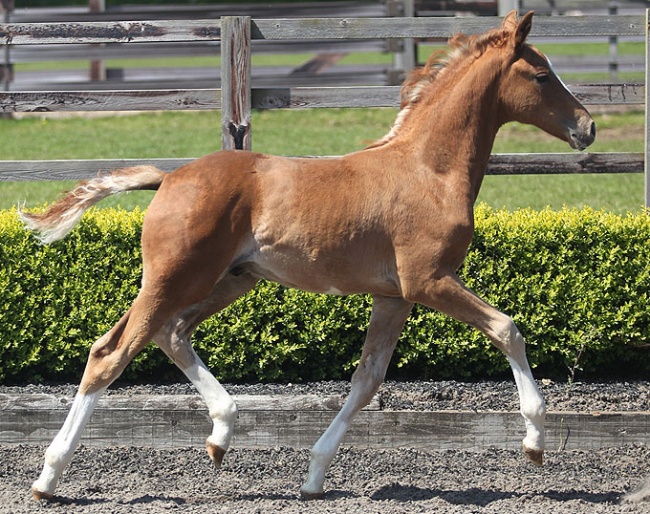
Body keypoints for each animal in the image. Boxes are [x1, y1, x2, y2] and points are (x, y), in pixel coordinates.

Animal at [24, 11, 592, 500]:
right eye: (542, 75)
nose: (586, 127)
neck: (427, 170)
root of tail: (168, 178)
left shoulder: (394, 297)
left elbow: (366, 382)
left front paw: (314, 475)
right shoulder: (428, 280)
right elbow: (506, 329)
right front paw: (535, 442)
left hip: (229, 279)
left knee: (171, 333)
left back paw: (221, 433)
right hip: (175, 277)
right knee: (111, 353)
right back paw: (49, 478)